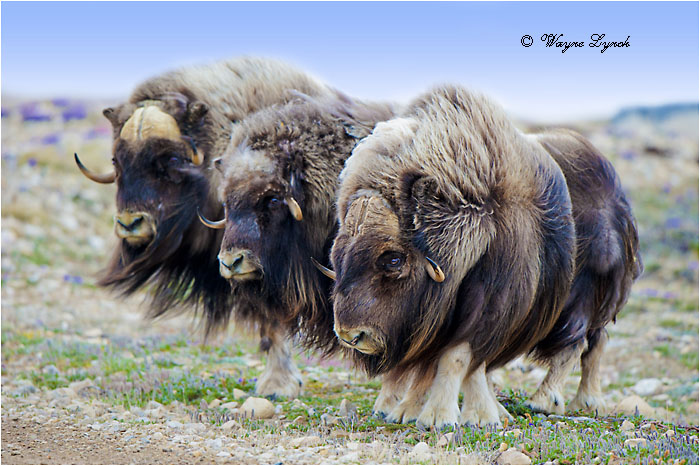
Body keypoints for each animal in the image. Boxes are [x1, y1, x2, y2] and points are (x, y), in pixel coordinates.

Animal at [327, 85, 577, 428]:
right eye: (337, 254)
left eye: (393, 259)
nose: (350, 335)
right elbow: (432, 365)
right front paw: (418, 412)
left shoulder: (490, 309)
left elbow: (458, 359)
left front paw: (447, 418)